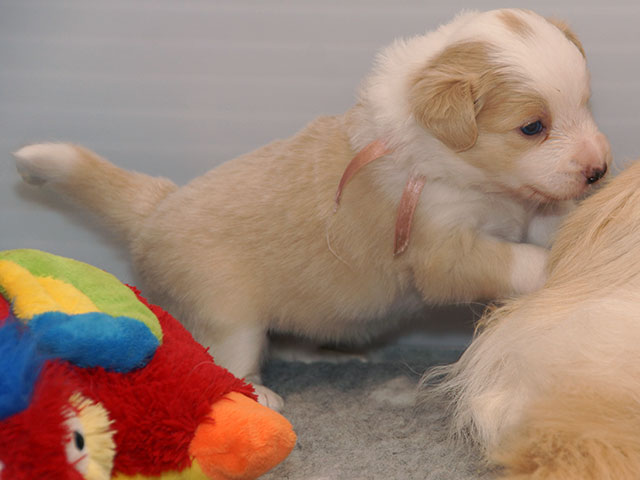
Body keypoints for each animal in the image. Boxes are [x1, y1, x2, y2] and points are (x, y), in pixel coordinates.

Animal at [14, 9, 610, 409]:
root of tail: (157, 205)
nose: (599, 170)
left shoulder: (524, 207)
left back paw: (327, 355)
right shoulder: (442, 252)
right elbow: (515, 259)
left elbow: (546, 220)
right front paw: (556, 264)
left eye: (585, 105)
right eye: (532, 127)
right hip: (228, 316)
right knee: (223, 359)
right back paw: (257, 394)